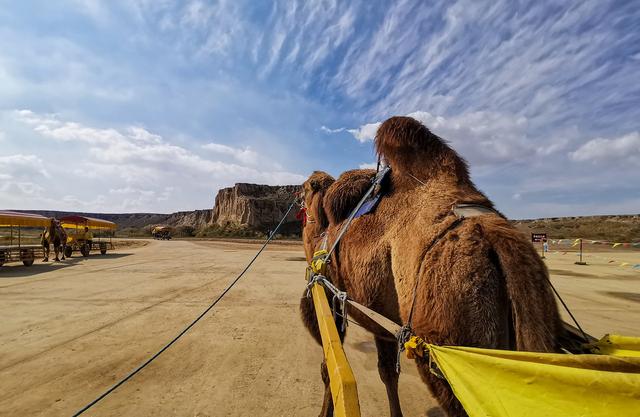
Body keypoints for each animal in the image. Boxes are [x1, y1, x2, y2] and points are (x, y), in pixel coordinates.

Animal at [298, 116, 560, 416]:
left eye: (304, 187)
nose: (297, 196)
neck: (323, 231)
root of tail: (496, 237)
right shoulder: (383, 315)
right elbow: (387, 371)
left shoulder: (326, 293)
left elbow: (330, 366)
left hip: (449, 342)